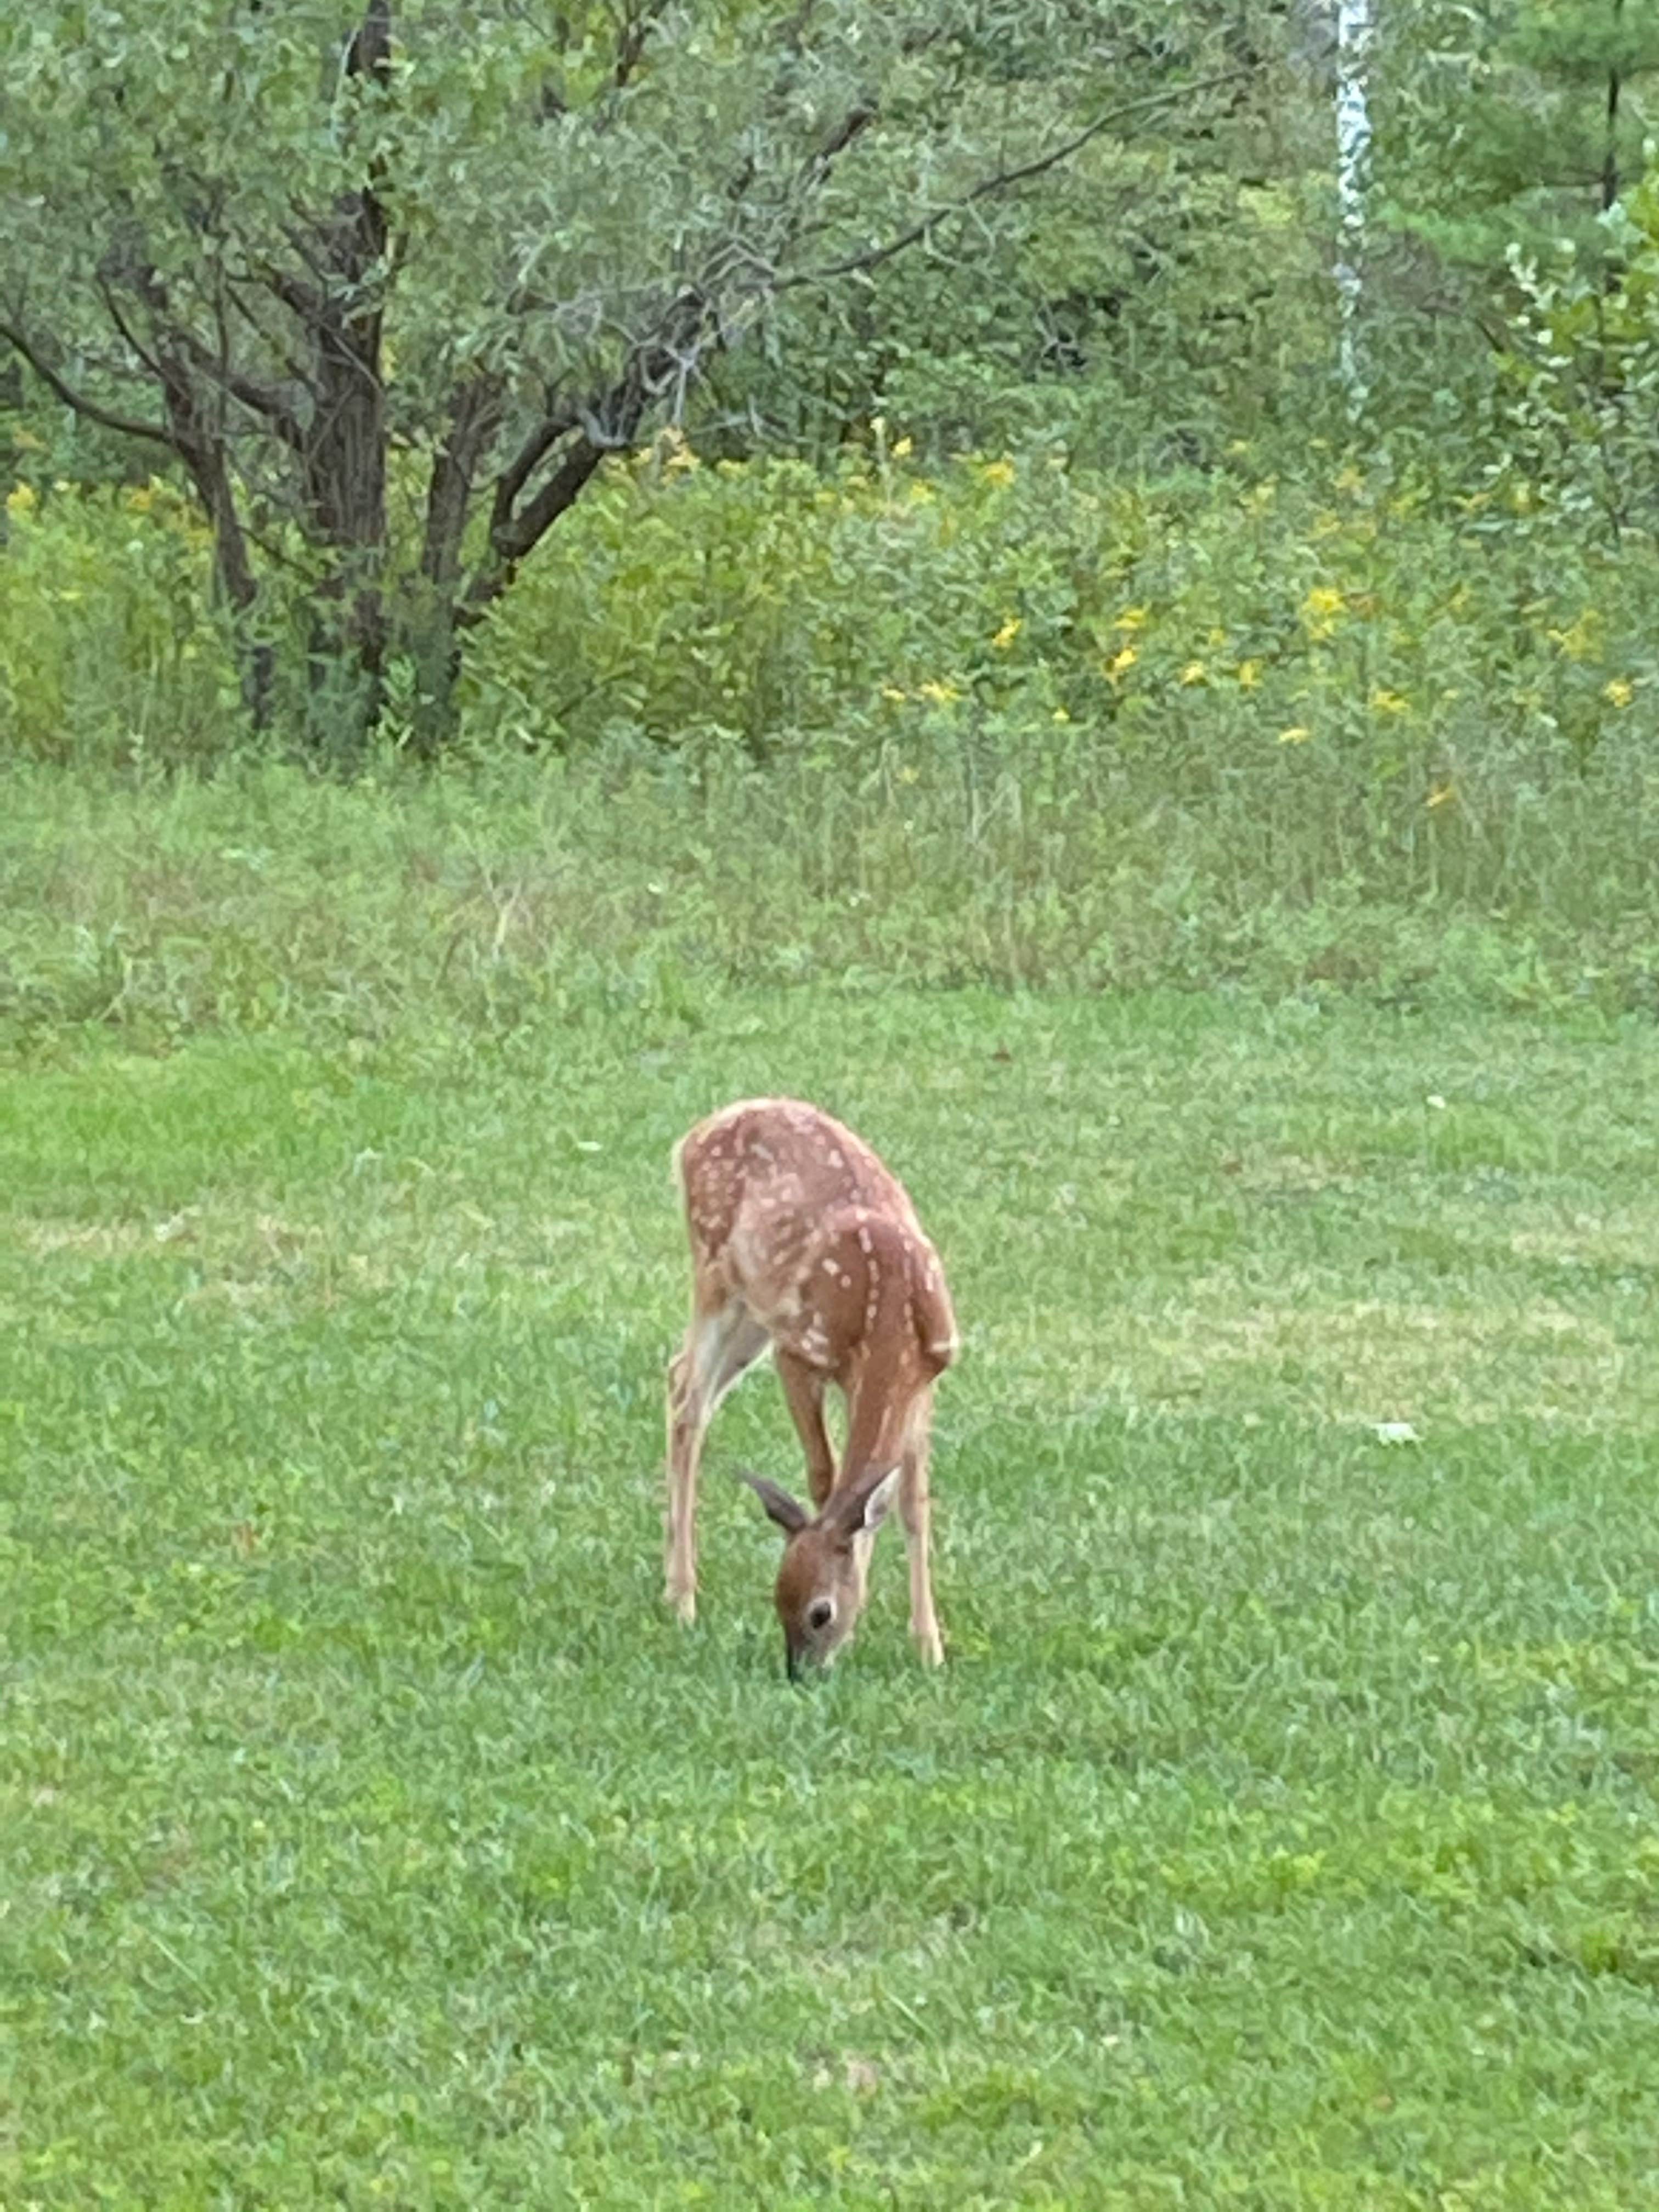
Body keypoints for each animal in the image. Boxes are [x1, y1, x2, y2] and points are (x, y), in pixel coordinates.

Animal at [668, 1097, 960, 1681]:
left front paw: (929, 1648)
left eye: (818, 1613)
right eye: (776, 1600)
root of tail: (695, 1134)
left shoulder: (927, 1376)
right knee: (690, 1400)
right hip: (716, 1276)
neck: (888, 1320)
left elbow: (909, 1503)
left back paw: (672, 1587)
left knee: (678, 1378)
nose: (799, 1674)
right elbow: (826, 1477)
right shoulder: (802, 1351)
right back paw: (684, 1599)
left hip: (751, 1311)